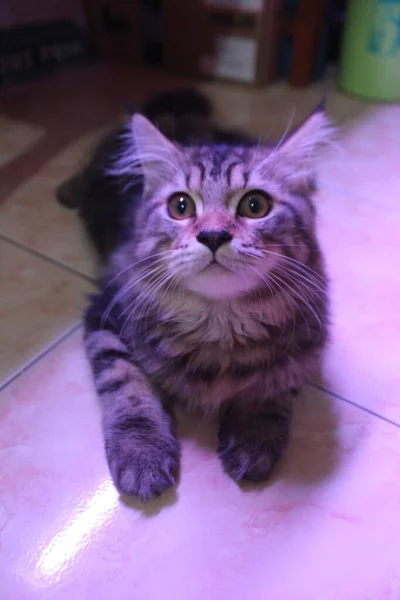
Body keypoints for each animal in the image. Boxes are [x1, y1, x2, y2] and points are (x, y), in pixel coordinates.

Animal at [74, 89, 332, 502]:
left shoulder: (306, 340)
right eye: (181, 206)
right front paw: (142, 454)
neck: (218, 320)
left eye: (255, 205)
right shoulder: (105, 315)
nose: (212, 235)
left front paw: (253, 434)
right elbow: (128, 386)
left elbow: (275, 382)